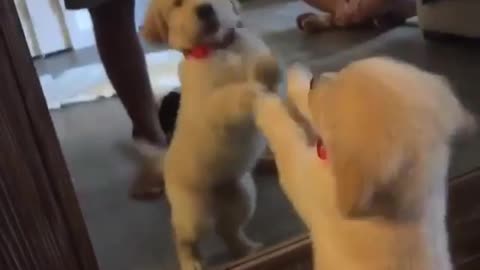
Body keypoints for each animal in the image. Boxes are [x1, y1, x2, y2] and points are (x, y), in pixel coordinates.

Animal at [253, 57, 474, 270]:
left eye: (330, 104)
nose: (314, 80)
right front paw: (298, 76)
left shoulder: (305, 183)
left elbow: (286, 139)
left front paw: (265, 100)